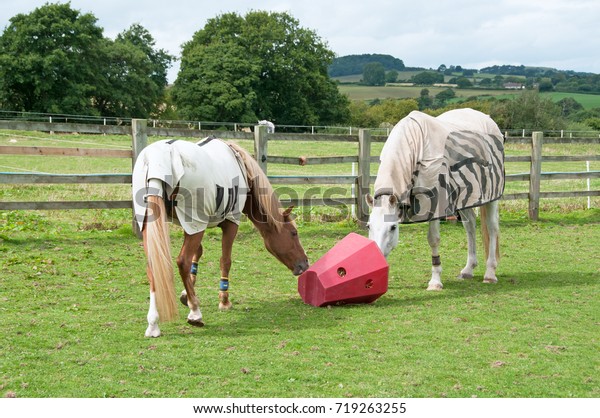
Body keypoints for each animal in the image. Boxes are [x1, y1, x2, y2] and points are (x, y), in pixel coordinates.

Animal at [132, 139, 310, 338]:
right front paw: (223, 300)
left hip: (148, 222)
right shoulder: (228, 223)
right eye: (294, 233)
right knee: (182, 262)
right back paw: (195, 313)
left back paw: (153, 324)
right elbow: (225, 261)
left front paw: (187, 294)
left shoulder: (193, 226)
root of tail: (160, 156)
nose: (305, 263)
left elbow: (197, 254)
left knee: (154, 267)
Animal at [368, 109, 504, 290]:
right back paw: (468, 269)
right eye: (368, 226)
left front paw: (435, 281)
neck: (417, 146)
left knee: (492, 227)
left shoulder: (435, 203)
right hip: (466, 197)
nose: (376, 261)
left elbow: (433, 239)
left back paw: (490, 273)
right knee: (470, 226)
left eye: (393, 227)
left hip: (491, 197)